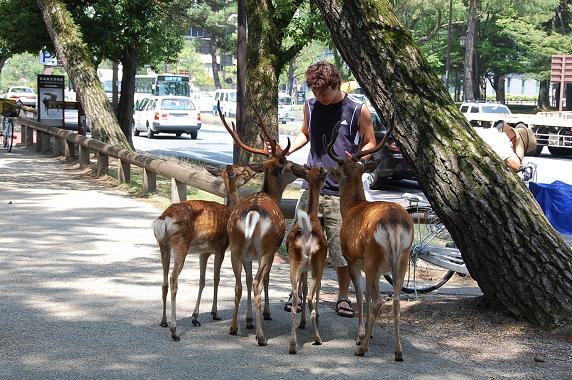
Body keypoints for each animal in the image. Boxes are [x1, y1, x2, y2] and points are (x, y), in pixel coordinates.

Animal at [154, 164, 256, 342]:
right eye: (242, 171)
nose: (253, 172)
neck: (230, 210)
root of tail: (163, 219)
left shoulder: (204, 252)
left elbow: (202, 281)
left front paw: (195, 317)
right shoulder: (220, 247)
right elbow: (216, 279)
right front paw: (214, 313)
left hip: (163, 247)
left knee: (164, 281)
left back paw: (163, 321)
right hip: (181, 245)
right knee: (173, 279)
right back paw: (174, 331)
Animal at [218, 102, 306, 346]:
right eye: (288, 163)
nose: (301, 167)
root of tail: (252, 215)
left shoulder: (248, 255)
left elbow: (247, 281)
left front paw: (248, 319)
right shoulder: (272, 249)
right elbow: (264, 280)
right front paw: (265, 314)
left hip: (236, 246)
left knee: (239, 284)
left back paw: (233, 327)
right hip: (266, 247)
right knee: (259, 282)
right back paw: (260, 336)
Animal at [324, 117, 414, 360]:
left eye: (339, 165)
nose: (327, 169)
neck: (351, 207)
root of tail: (394, 223)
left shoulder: (353, 259)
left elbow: (360, 294)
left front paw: (362, 334)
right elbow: (367, 294)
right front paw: (369, 334)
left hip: (374, 257)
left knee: (379, 300)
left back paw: (362, 348)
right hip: (401, 259)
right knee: (395, 300)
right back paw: (398, 351)